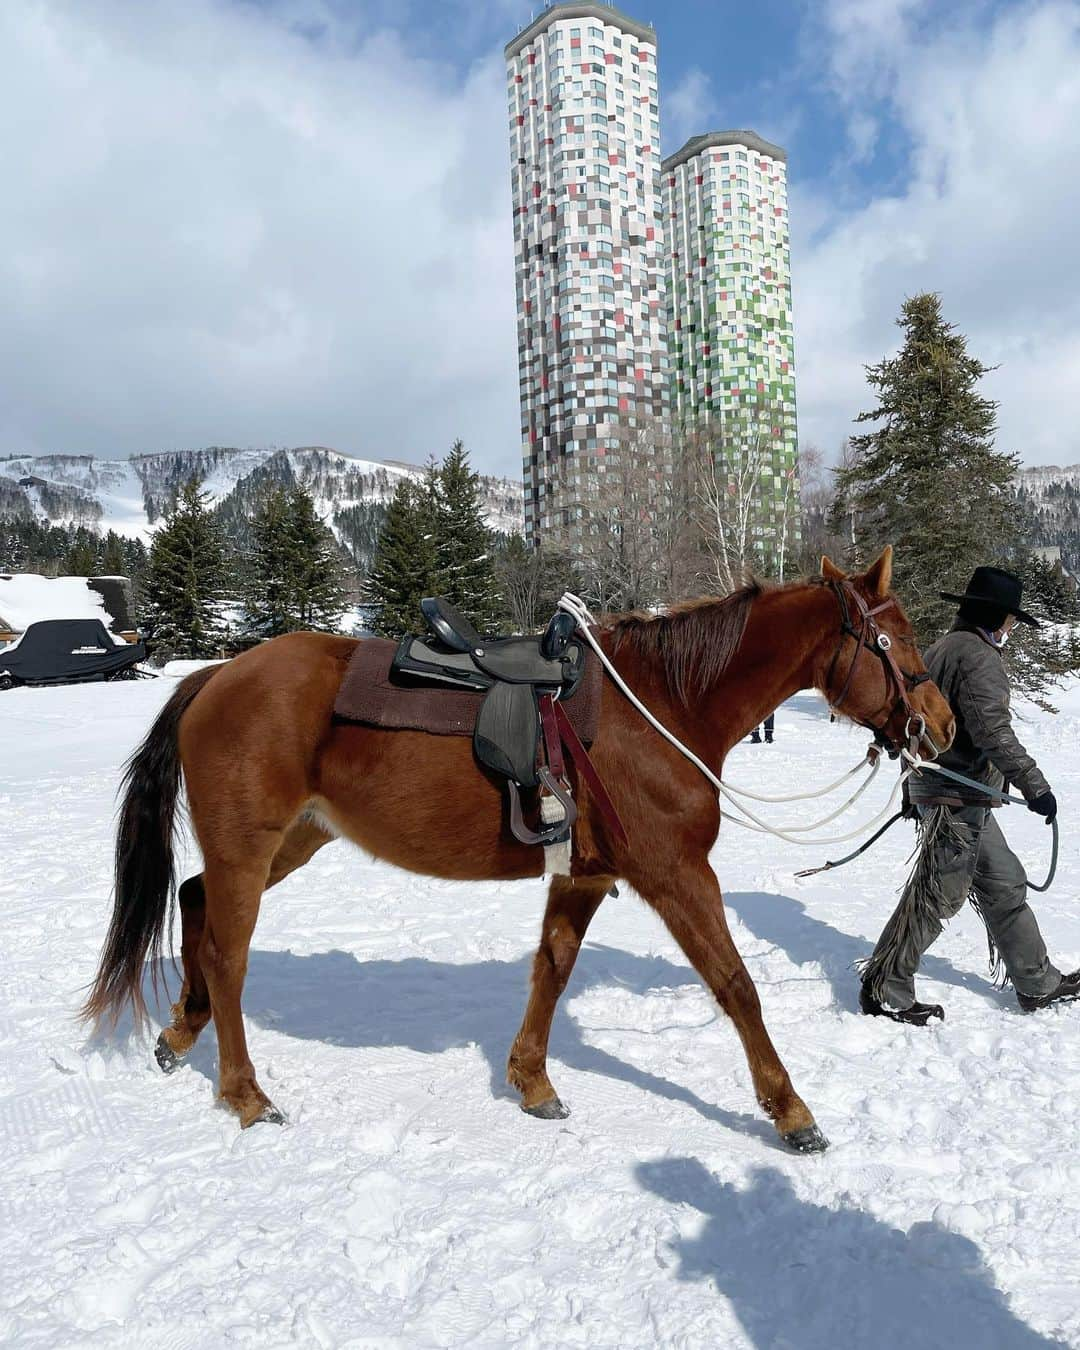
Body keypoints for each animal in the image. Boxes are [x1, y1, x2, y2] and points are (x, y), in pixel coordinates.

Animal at [84, 545, 955, 1150]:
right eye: (895, 639)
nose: (942, 727)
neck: (667, 705)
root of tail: (216, 676)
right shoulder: (675, 873)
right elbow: (736, 987)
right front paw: (790, 1111)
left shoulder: (585, 875)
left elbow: (552, 969)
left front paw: (532, 1082)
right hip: (251, 844)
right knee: (227, 953)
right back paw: (244, 1092)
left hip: (293, 839)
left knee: (196, 902)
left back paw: (181, 1031)